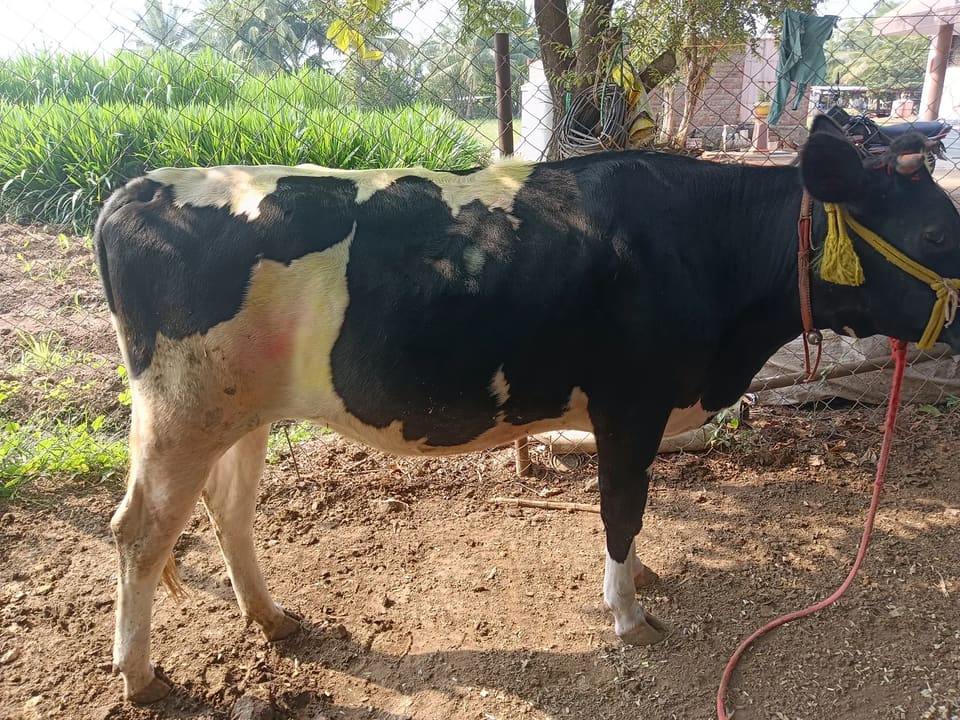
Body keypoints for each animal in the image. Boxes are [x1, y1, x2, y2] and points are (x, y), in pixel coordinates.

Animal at [95, 116, 960, 702]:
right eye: (931, 233)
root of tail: (139, 186)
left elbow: (632, 509)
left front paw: (641, 577)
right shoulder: (629, 404)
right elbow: (621, 506)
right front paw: (627, 611)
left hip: (238, 412)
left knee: (228, 510)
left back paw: (271, 618)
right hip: (180, 411)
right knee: (139, 531)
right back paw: (139, 675)